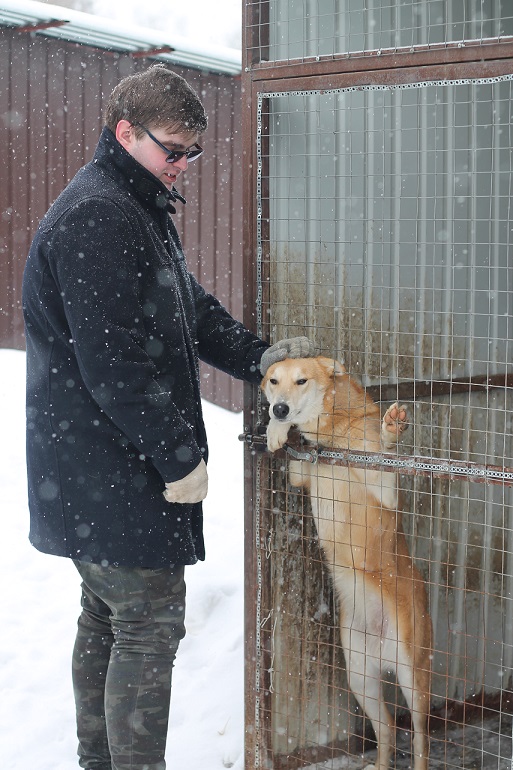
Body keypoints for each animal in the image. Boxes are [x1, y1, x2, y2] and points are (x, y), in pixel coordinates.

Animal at [260, 354, 432, 768]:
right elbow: (295, 458)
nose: (279, 408)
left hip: (413, 673)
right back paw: (380, 764)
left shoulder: (385, 489)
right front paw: (276, 431)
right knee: (387, 727)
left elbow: (385, 452)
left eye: (302, 381)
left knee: (420, 737)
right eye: (273, 381)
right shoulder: (301, 473)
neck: (331, 434)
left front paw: (392, 427)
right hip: (359, 676)